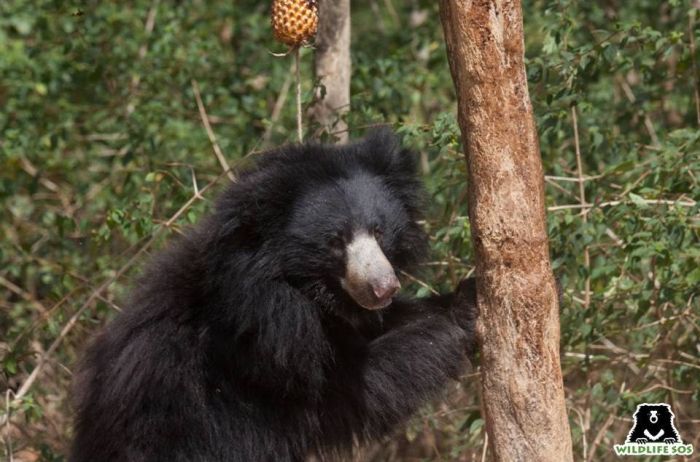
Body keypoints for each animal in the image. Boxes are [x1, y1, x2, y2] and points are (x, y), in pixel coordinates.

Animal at [69, 130, 476, 462]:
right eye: (335, 241)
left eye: (378, 230)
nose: (383, 288)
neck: (295, 289)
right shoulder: (262, 350)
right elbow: (350, 385)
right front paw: (465, 309)